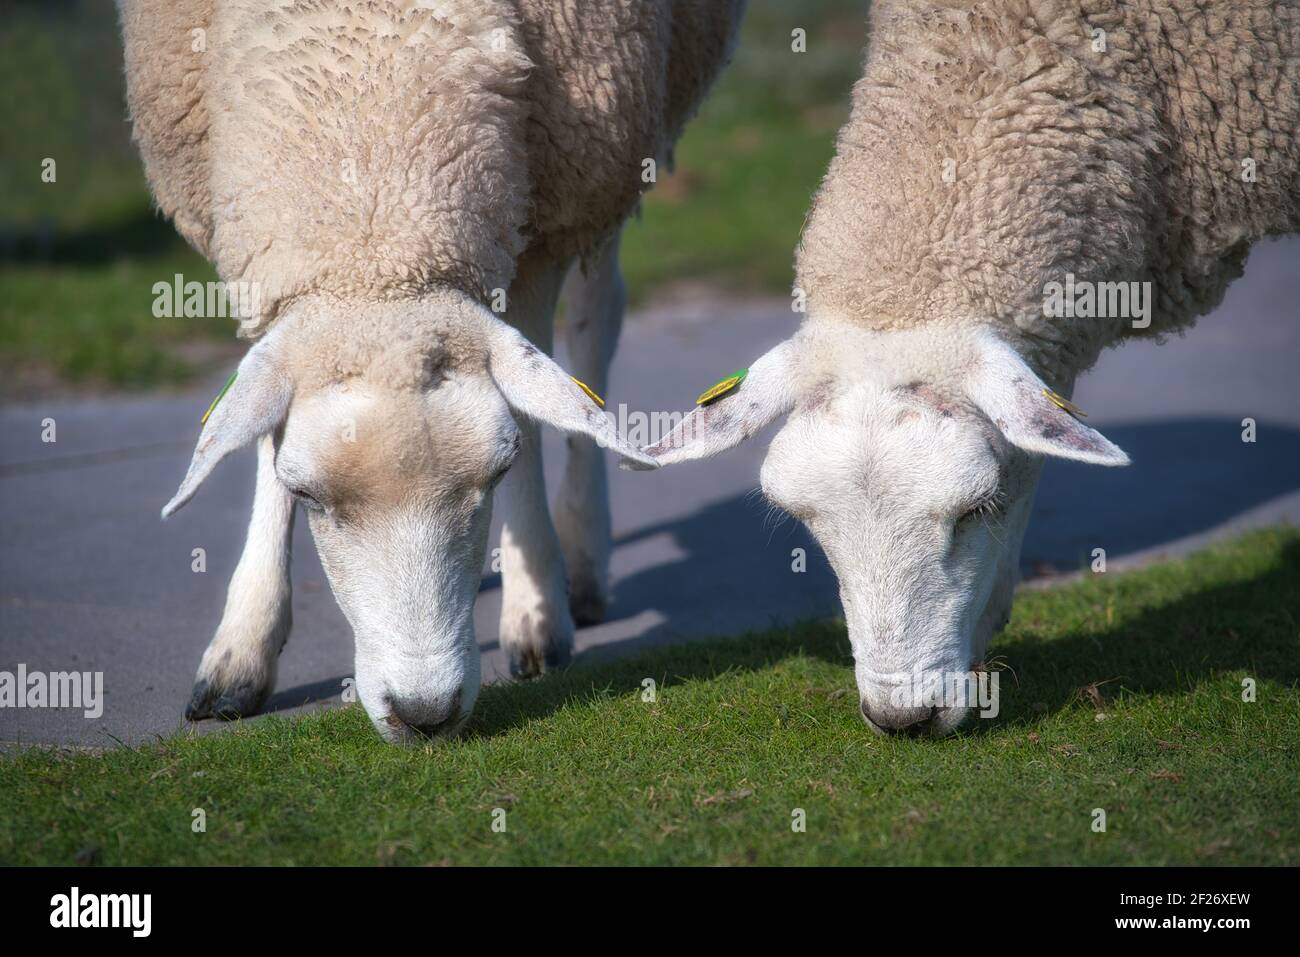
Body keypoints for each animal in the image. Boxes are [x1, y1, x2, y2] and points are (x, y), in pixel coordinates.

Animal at [118, 0, 745, 743]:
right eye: (306, 494)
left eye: (499, 472)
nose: (423, 714)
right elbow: (262, 422)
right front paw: (241, 647)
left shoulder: (550, 210)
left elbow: (536, 391)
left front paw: (537, 608)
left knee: (598, 320)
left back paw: (583, 562)